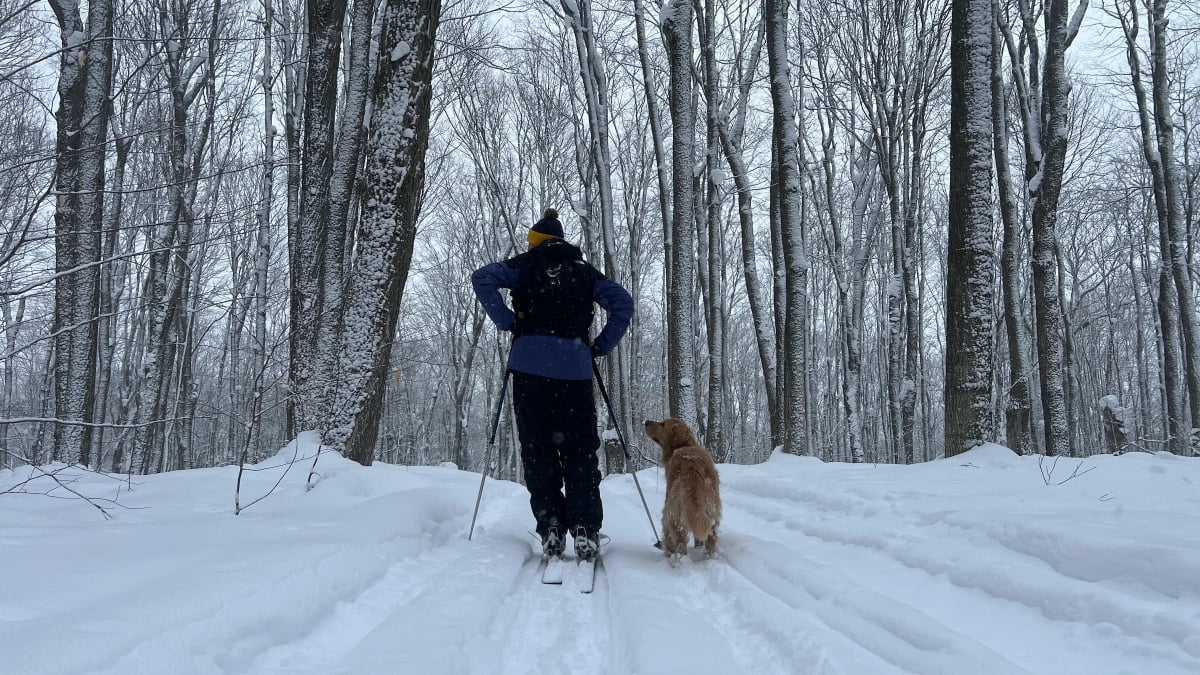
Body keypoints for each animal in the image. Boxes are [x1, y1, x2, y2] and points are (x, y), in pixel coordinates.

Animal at [648, 417, 720, 559]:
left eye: (663, 424)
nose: (646, 422)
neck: (686, 445)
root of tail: (693, 465)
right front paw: (698, 545)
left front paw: (668, 550)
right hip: (711, 510)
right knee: (711, 537)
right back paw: (708, 557)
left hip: (674, 511)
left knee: (679, 540)